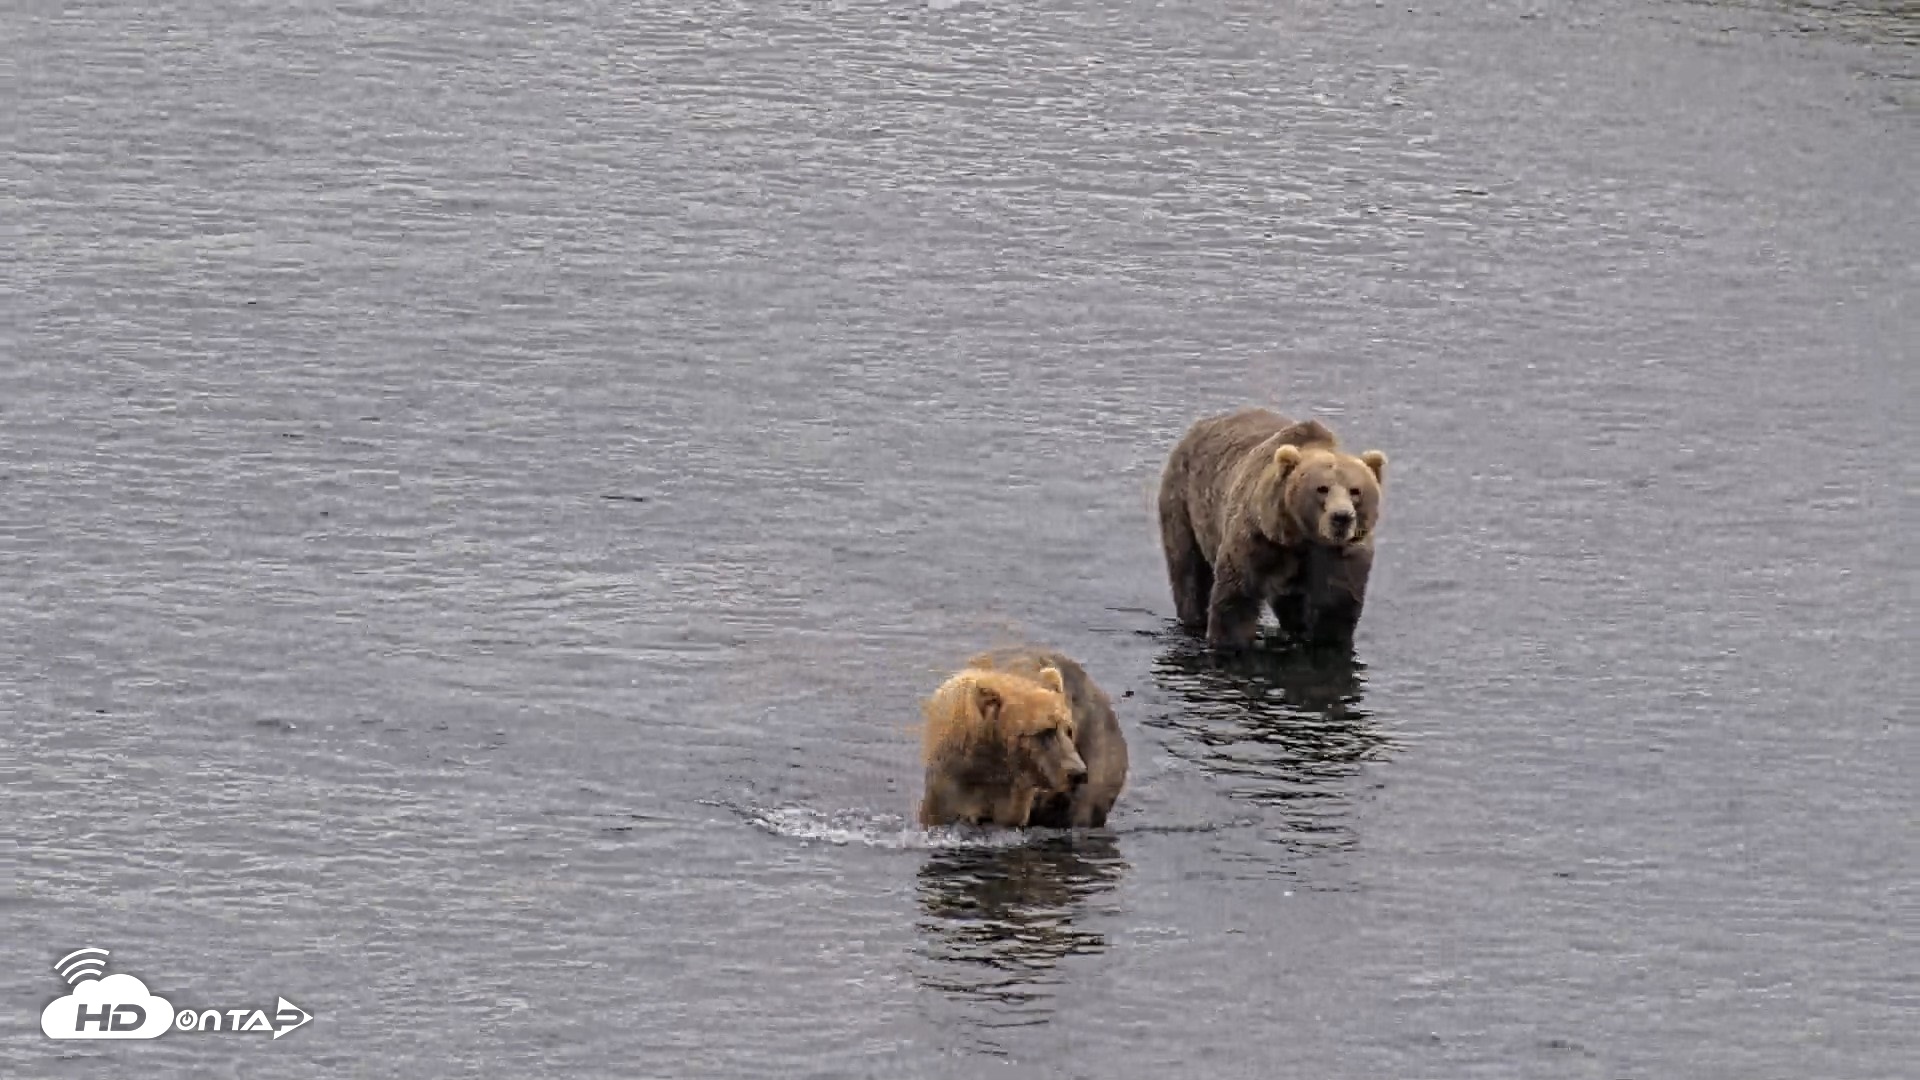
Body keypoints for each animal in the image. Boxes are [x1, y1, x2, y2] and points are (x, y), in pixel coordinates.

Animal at [1156, 407, 1388, 650]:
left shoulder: (1336, 557)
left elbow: (1334, 607)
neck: (1299, 536)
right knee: (1188, 570)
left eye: (1355, 490)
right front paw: (1229, 641)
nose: (1342, 517)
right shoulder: (1257, 539)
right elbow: (1236, 598)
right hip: (1183, 502)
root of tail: (1201, 425)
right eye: (1322, 488)